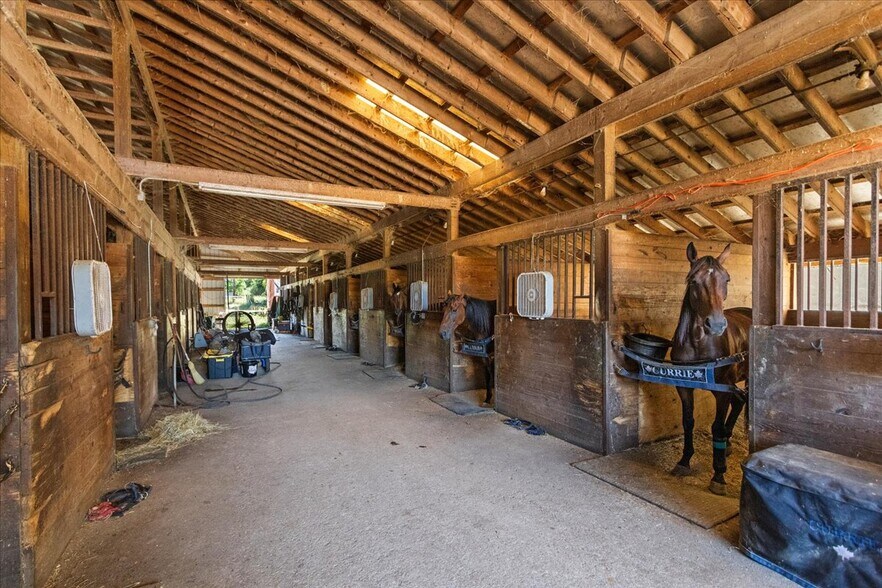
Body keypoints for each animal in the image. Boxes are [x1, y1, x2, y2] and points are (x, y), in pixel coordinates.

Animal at [670, 242, 751, 495]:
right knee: (740, 402)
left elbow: (716, 427)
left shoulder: (721, 391)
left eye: (727, 279)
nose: (715, 325)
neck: (699, 343)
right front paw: (684, 461)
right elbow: (688, 420)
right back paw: (728, 444)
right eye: (693, 280)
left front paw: (718, 476)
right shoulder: (684, 385)